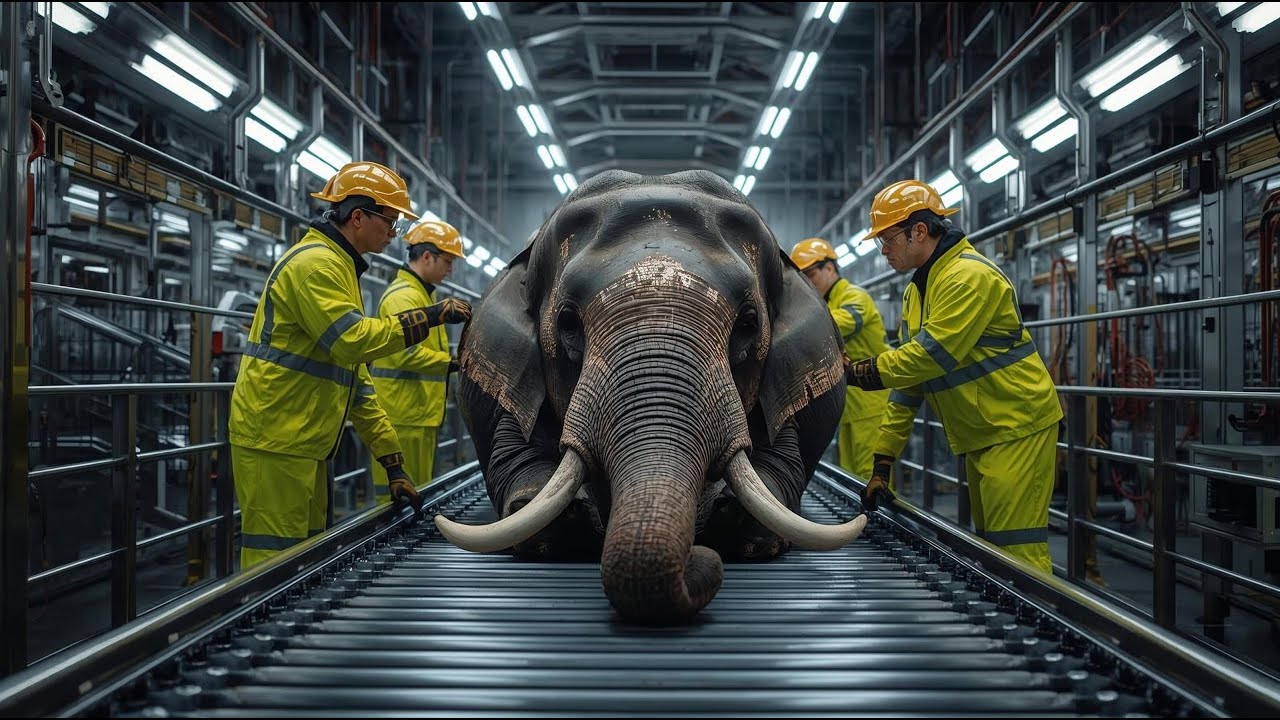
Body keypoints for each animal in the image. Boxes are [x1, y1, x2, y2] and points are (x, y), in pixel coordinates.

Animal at [435, 170, 866, 623]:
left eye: (749, 323)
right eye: (567, 322)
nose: (700, 560)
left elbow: (785, 462)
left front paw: (737, 524)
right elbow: (511, 456)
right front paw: (562, 523)